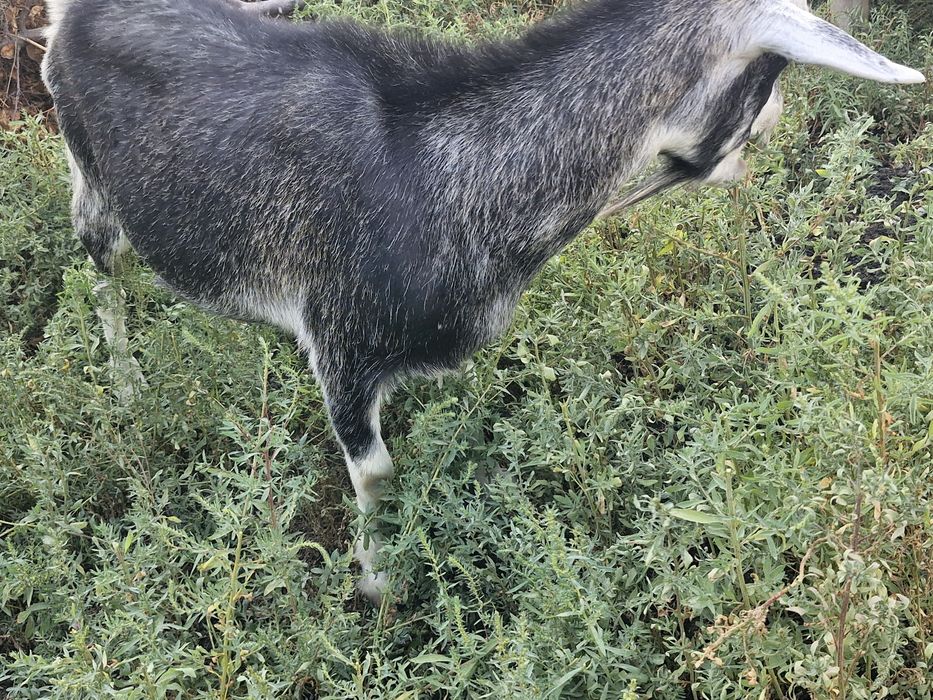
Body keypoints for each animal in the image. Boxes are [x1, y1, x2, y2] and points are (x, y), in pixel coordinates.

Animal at [41, 0, 924, 602]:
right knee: (101, 275)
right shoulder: (343, 342)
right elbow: (378, 474)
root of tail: (69, 15)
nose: (764, 137)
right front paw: (378, 589)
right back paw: (128, 390)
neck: (452, 170)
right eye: (764, 80)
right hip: (92, 184)